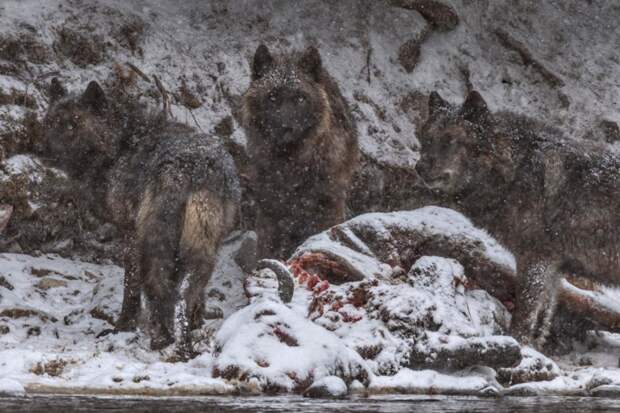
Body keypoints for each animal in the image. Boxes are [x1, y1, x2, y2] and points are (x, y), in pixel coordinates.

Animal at [43, 79, 240, 354]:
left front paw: (122, 326)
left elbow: (131, 286)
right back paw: (182, 337)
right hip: (202, 246)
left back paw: (161, 337)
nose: (44, 151)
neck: (121, 143)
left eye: (75, 122)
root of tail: (189, 169)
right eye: (51, 122)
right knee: (186, 290)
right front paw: (198, 322)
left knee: (157, 284)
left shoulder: (130, 233)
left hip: (153, 242)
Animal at [241, 44, 358, 258]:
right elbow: (267, 249)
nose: (285, 127)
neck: (290, 163)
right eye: (272, 96)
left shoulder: (327, 205)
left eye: (300, 98)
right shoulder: (270, 210)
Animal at [414, 90, 620, 348]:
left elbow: (526, 308)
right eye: (427, 139)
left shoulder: (535, 258)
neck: (514, 169)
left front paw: (516, 342)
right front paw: (534, 347)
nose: (419, 168)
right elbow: (543, 316)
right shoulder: (553, 267)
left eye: (451, 139)